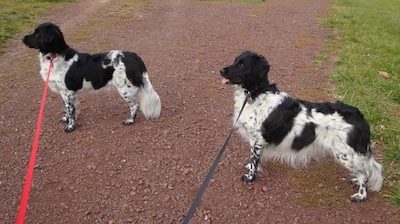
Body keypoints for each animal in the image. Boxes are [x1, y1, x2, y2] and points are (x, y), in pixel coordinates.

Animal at [22, 22, 160, 132]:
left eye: (37, 34)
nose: (22, 38)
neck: (56, 56)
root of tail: (134, 56)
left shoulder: (67, 92)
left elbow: (71, 110)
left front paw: (70, 127)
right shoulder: (65, 93)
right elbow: (67, 108)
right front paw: (66, 119)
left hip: (124, 88)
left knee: (134, 105)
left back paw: (130, 120)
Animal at [220, 50, 382, 201]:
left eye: (242, 65)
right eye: (235, 61)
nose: (221, 70)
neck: (256, 94)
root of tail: (359, 116)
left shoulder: (257, 140)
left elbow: (254, 160)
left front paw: (250, 177)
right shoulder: (258, 142)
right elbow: (255, 160)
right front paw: (251, 167)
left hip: (345, 154)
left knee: (364, 174)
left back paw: (360, 195)